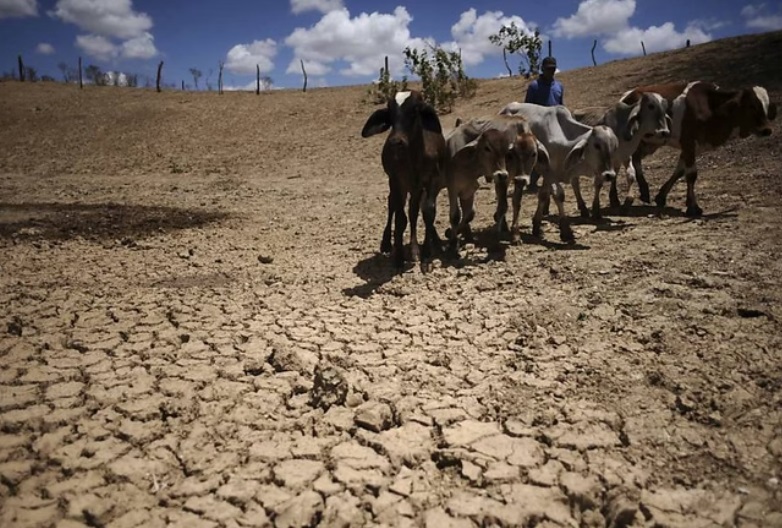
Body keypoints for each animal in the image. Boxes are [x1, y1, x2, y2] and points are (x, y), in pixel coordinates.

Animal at [362, 90, 448, 268]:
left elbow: (428, 212)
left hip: (416, 188)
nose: (396, 141)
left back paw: (415, 250)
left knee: (413, 211)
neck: (414, 157)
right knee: (393, 205)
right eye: (390, 113)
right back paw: (387, 243)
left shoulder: (431, 180)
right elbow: (400, 218)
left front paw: (425, 257)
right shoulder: (396, 180)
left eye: (415, 110)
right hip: (400, 186)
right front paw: (399, 257)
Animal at [444, 114, 548, 244]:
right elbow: (503, 205)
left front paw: (515, 234)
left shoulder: (516, 182)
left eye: (533, 154)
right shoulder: (502, 179)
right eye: (514, 154)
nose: (522, 178)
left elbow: (516, 204)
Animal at [502, 102, 620, 242]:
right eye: (597, 145)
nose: (610, 175)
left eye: (614, 147)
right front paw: (566, 231)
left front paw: (537, 226)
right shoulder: (548, 172)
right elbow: (559, 195)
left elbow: (543, 195)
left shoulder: (549, 174)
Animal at [624, 80, 776, 214]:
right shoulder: (689, 142)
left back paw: (644, 191)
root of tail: (629, 94)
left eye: (766, 106)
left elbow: (680, 171)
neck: (711, 107)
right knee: (632, 160)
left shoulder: (691, 148)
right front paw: (693, 207)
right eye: (752, 106)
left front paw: (662, 197)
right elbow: (691, 175)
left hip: (650, 143)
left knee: (636, 158)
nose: (767, 130)